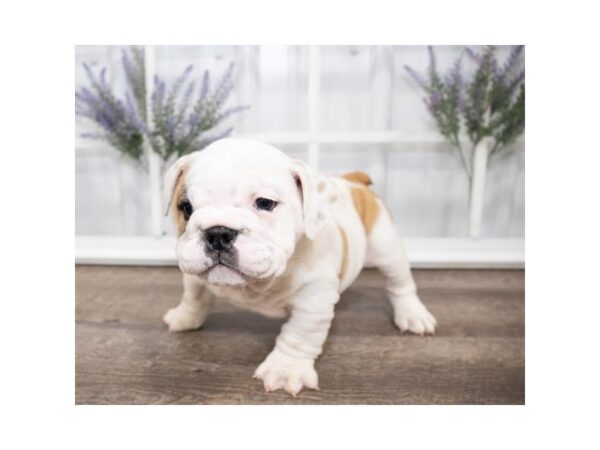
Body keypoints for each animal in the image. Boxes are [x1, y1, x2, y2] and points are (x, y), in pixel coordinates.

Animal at [163, 139, 436, 396]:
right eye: (186, 207)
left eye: (265, 203)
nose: (218, 233)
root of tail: (352, 181)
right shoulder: (194, 274)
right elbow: (194, 297)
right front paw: (185, 316)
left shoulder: (313, 302)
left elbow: (299, 334)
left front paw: (285, 370)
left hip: (386, 246)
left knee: (400, 283)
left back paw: (413, 314)